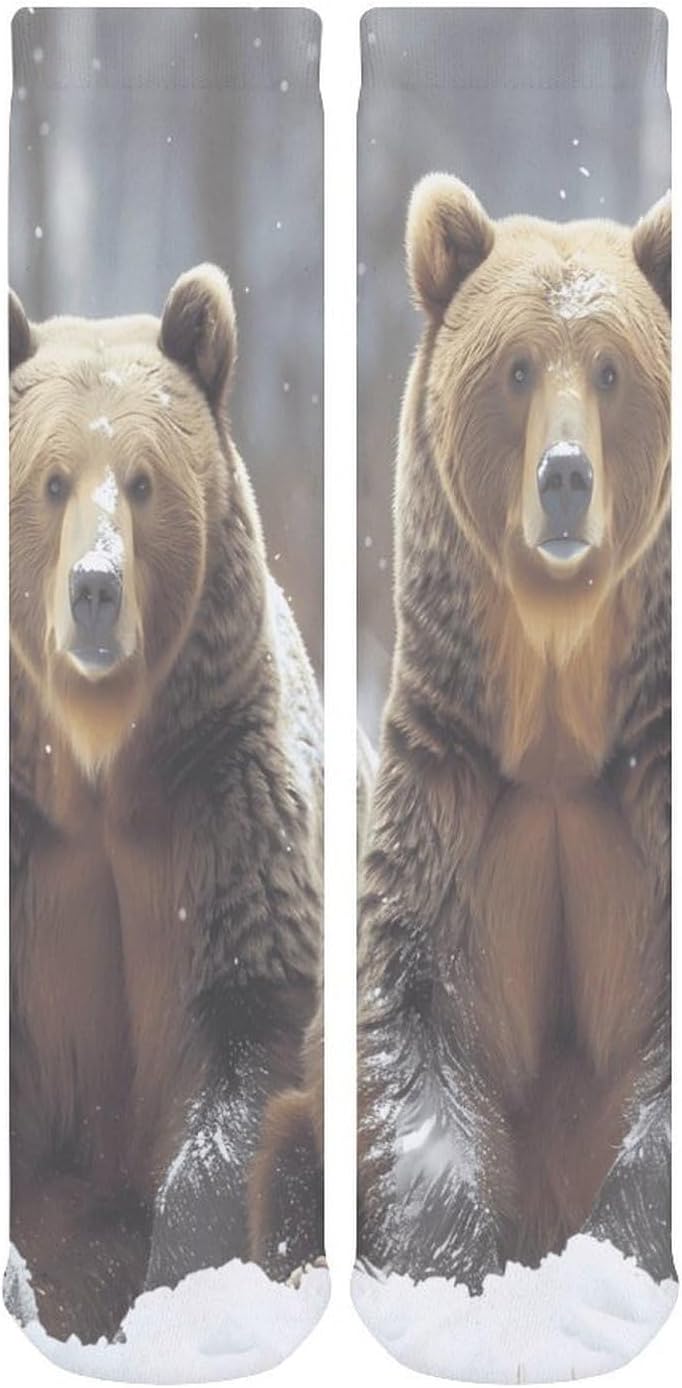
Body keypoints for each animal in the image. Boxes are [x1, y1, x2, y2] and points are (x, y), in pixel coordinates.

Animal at [8, 265, 324, 1342]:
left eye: (143, 479)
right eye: (52, 479)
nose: (95, 589)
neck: (96, 765)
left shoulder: (220, 794)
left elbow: (241, 1041)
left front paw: (186, 1279)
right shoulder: (27, 838)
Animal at [357, 175, 671, 1291]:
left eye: (612, 370)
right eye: (519, 366)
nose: (565, 476)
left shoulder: (646, 790)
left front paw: (619, 1246)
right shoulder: (453, 790)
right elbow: (415, 1026)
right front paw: (448, 1254)